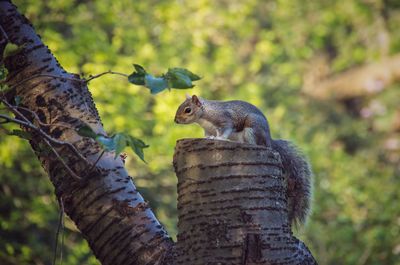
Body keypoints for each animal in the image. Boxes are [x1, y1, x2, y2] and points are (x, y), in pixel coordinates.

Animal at [175, 94, 312, 226]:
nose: (175, 120)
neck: (205, 114)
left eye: (188, 110)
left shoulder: (225, 120)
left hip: (251, 128)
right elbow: (207, 135)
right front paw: (209, 138)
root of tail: (269, 141)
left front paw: (220, 138)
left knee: (255, 143)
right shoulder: (208, 129)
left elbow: (225, 130)